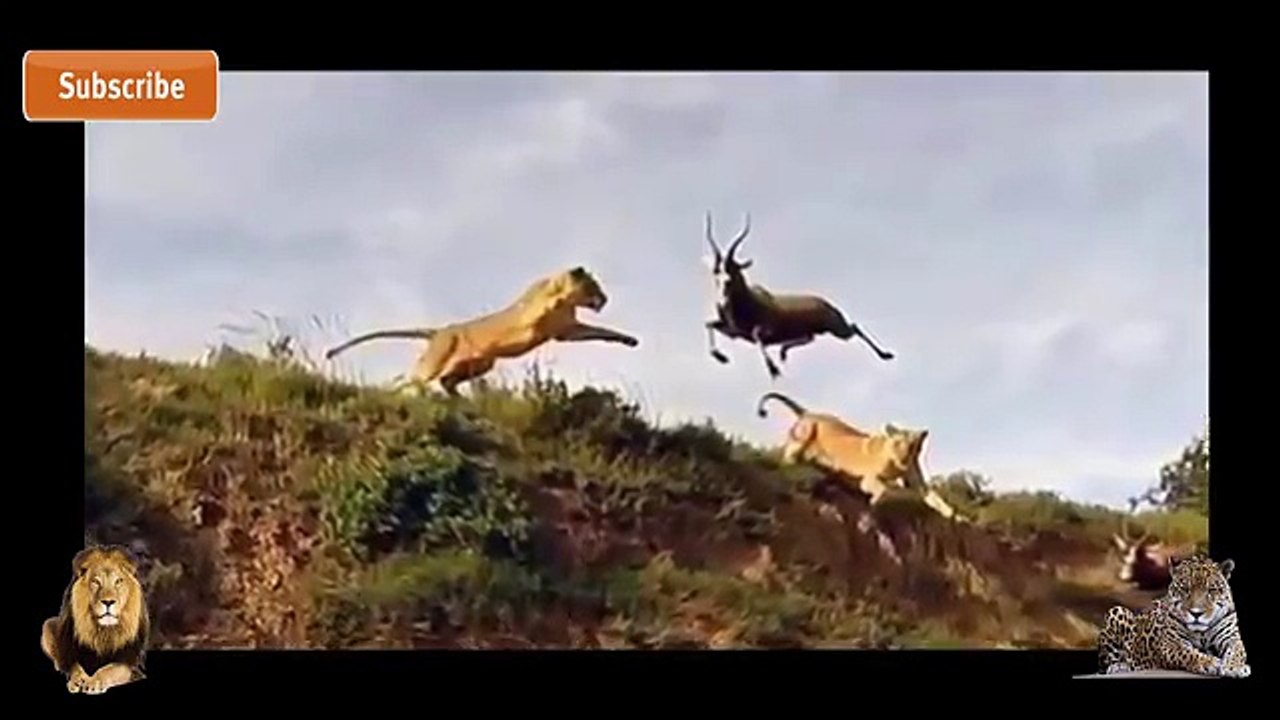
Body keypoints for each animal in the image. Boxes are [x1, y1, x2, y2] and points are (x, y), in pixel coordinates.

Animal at [41, 545, 149, 694]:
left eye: (118, 581)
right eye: (96, 582)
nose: (108, 602)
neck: (103, 631)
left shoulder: (128, 663)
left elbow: (109, 670)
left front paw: (93, 682)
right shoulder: (72, 653)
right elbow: (75, 667)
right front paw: (78, 680)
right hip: (48, 624)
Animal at [325, 266, 640, 396]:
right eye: (593, 287)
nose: (603, 299)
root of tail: (439, 331)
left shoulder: (566, 330)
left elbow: (601, 331)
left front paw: (629, 340)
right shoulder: (543, 320)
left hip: (481, 364)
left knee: (446, 381)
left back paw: (458, 400)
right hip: (439, 360)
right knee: (409, 378)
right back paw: (398, 391)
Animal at [756, 392, 962, 521]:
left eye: (912, 446)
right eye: (897, 443)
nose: (903, 458)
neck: (897, 466)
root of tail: (810, 412)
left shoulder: (917, 482)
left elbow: (935, 499)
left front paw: (956, 517)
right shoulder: (869, 478)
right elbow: (884, 489)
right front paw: (874, 500)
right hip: (803, 437)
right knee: (785, 458)